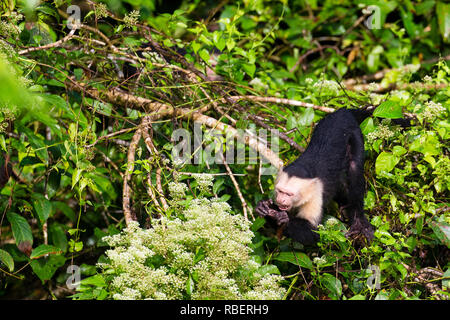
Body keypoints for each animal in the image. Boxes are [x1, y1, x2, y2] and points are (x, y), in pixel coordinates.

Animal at [253, 107, 386, 245]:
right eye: (280, 191)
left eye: (289, 194)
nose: (280, 200)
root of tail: (342, 112)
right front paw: (265, 208)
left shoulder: (316, 191)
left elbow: (313, 234)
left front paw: (281, 217)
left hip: (354, 134)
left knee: (354, 169)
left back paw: (359, 220)